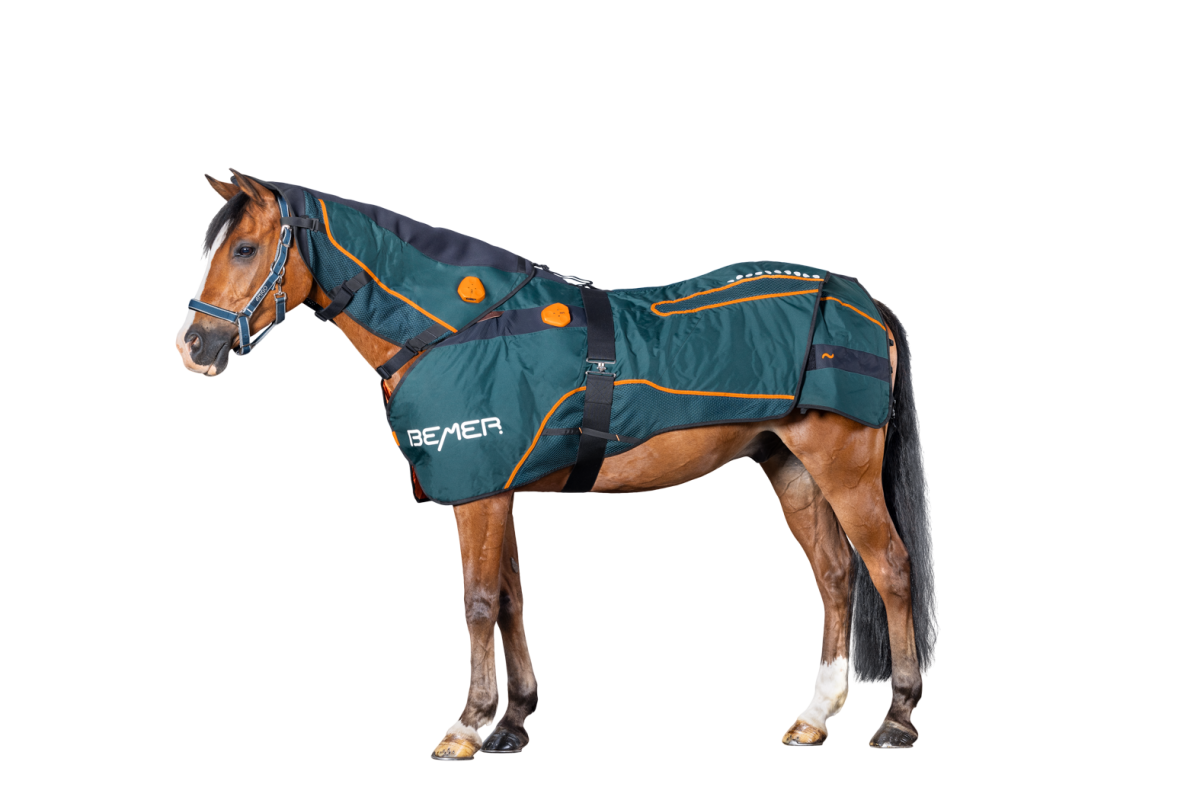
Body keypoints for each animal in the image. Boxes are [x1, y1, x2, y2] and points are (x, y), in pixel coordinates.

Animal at [179, 170, 939, 763]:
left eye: (245, 247)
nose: (197, 343)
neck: (458, 327)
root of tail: (858, 296)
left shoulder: (479, 493)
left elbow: (478, 601)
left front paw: (468, 728)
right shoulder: (497, 485)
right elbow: (511, 597)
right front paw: (513, 721)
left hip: (844, 470)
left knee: (888, 569)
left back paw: (899, 718)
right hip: (792, 469)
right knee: (835, 576)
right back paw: (816, 719)